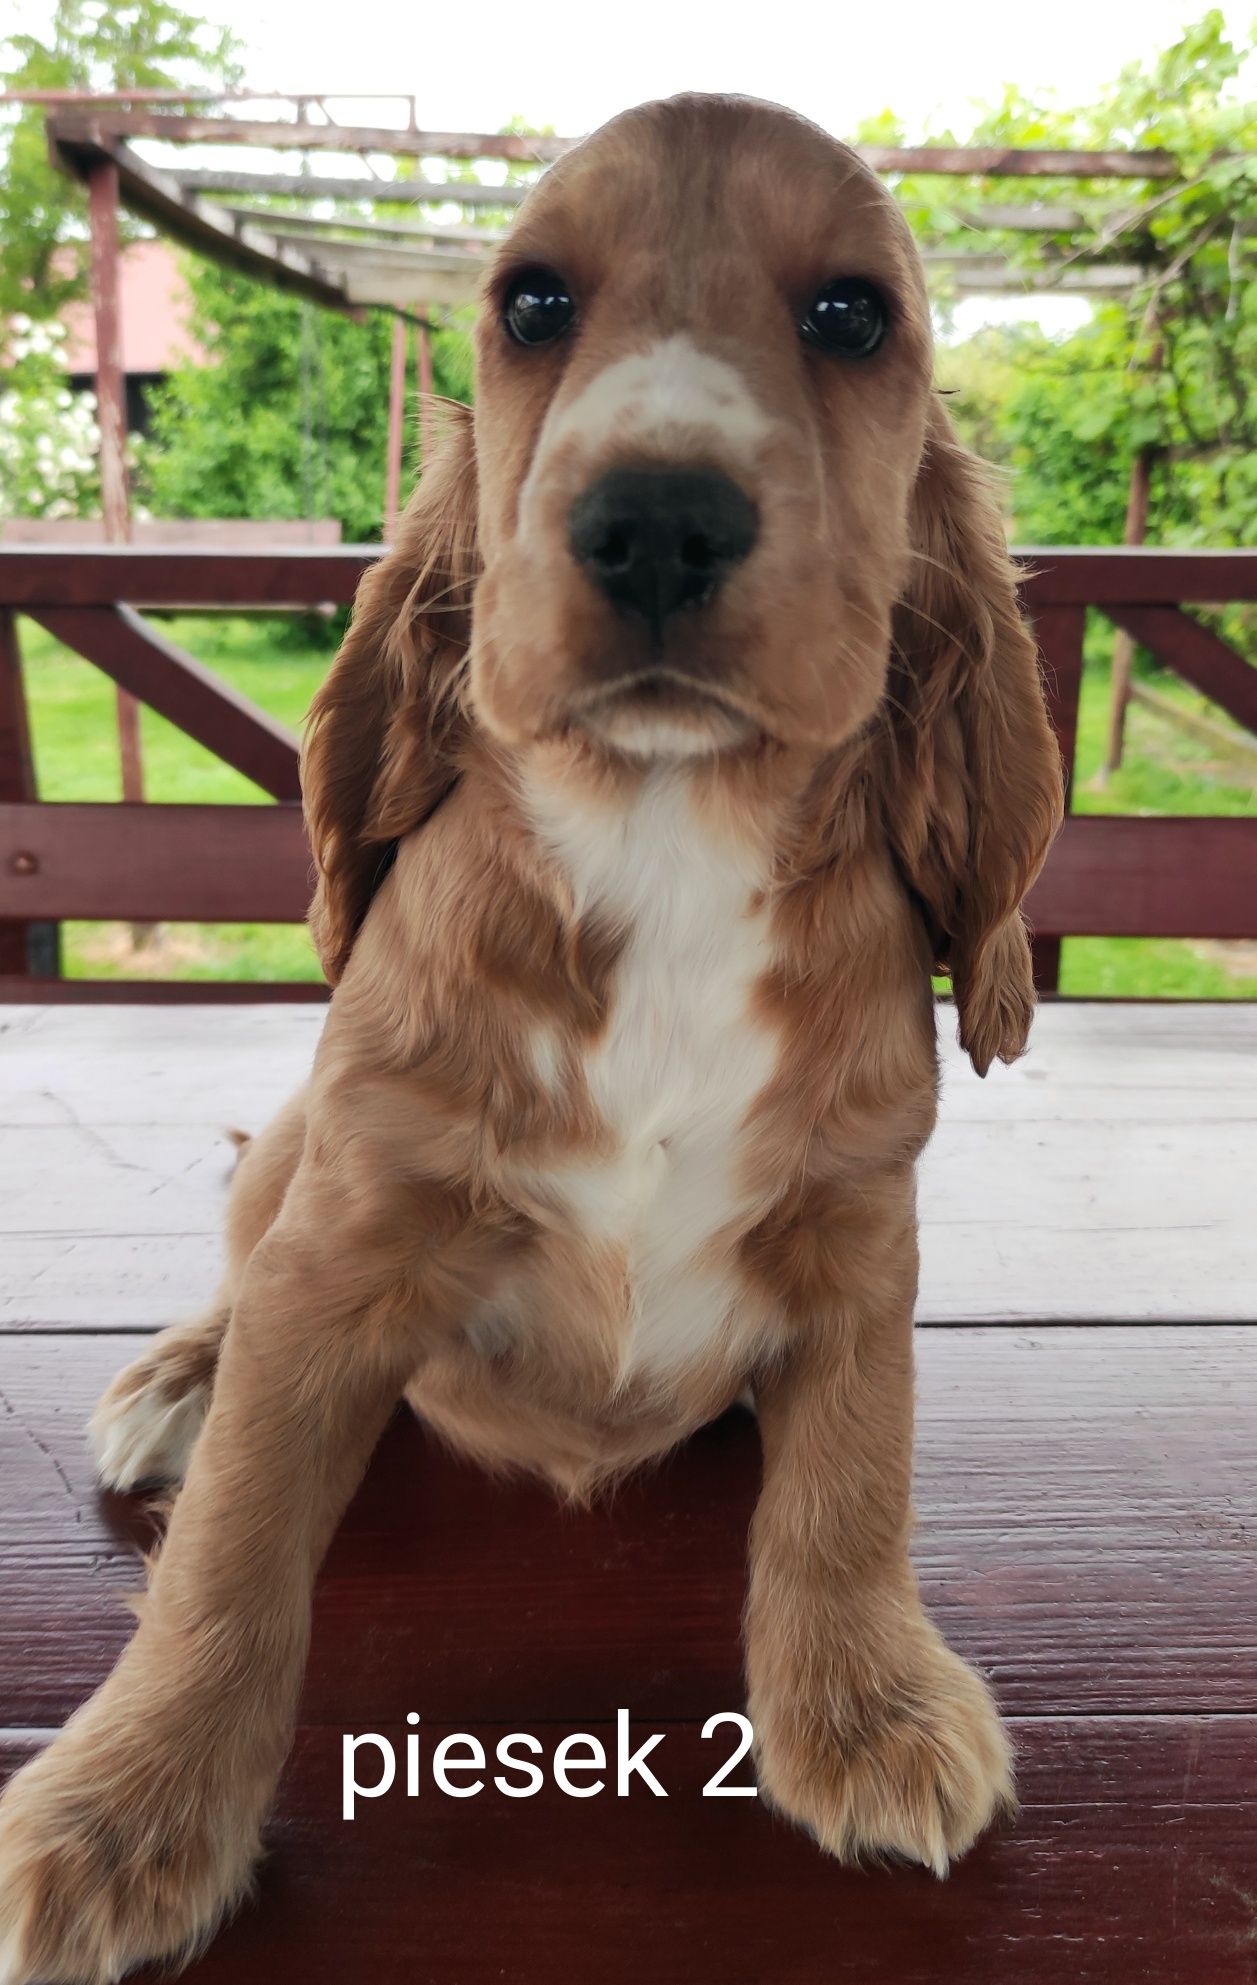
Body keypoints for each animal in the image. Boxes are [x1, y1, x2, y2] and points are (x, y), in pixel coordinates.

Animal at [0, 96, 1056, 1985]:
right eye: (533, 305)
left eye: (853, 315)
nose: (655, 521)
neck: (663, 834)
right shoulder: (347, 1232)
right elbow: (232, 1551)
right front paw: (128, 1807)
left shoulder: (863, 1226)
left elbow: (851, 1474)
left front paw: (864, 1706)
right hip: (292, 1141)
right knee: (235, 1277)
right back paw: (180, 1378)